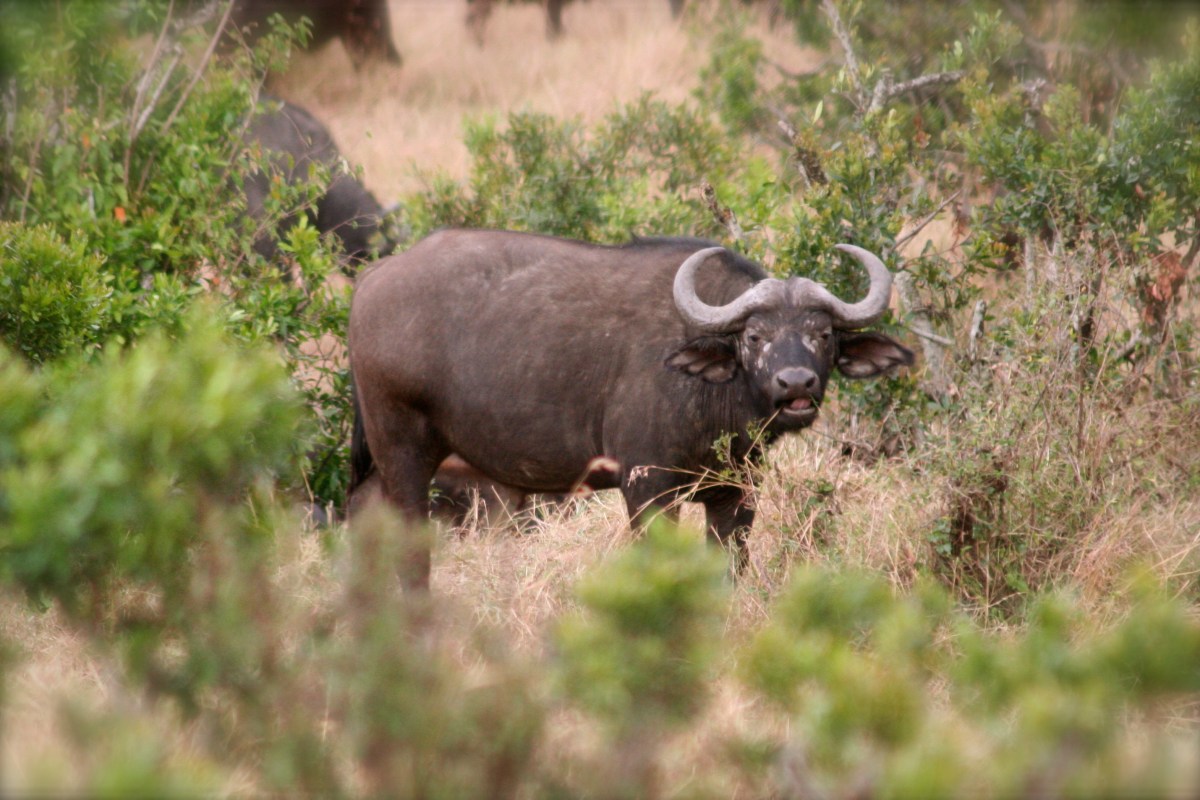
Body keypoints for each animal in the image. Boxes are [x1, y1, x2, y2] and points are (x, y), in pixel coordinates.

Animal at [348, 230, 914, 590]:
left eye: (823, 334)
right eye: (755, 336)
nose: (796, 382)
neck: (714, 397)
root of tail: (372, 281)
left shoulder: (736, 492)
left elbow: (729, 568)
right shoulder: (648, 489)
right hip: (404, 453)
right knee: (408, 552)